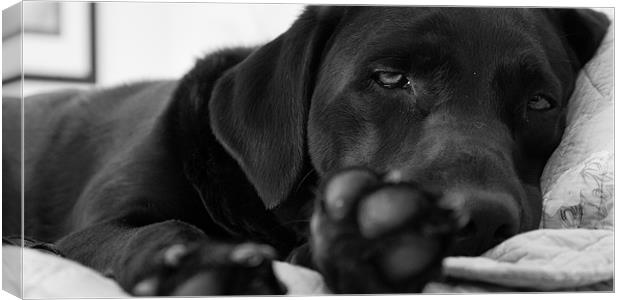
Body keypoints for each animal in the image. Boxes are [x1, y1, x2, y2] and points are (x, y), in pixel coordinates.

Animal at [1, 5, 612, 296]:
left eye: (540, 101)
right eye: (390, 77)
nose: (480, 219)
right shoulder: (91, 229)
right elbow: (162, 229)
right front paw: (199, 268)